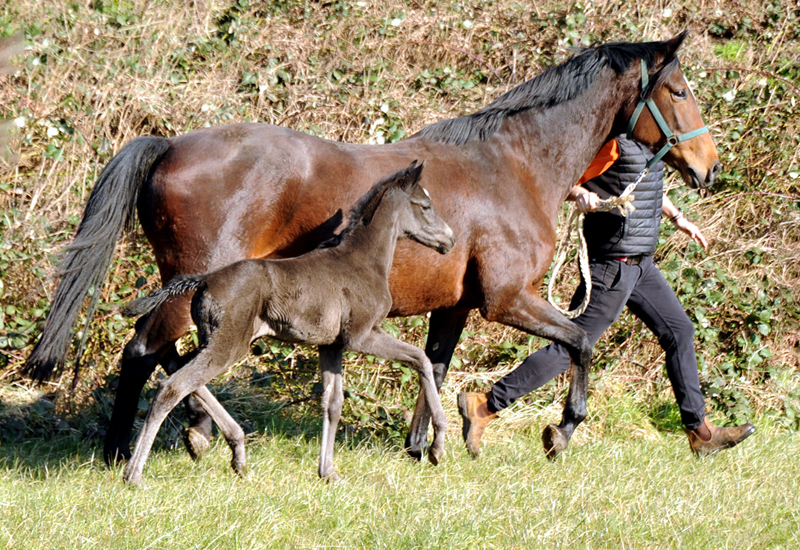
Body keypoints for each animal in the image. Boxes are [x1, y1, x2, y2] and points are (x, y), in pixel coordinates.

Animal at [28, 31, 720, 466]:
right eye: (680, 90)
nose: (709, 167)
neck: (514, 164)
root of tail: (169, 145)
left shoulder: (454, 306)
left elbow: (435, 365)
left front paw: (426, 444)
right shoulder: (507, 299)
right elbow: (578, 342)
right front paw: (561, 430)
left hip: (189, 287)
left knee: (165, 353)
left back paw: (197, 433)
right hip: (194, 282)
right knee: (143, 353)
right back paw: (125, 451)